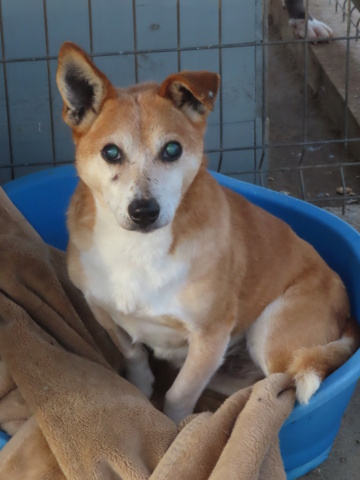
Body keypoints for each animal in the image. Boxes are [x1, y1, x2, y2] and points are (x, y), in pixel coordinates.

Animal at [56, 43, 360, 422]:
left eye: (172, 149)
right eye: (111, 152)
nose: (143, 211)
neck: (138, 248)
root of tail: (347, 311)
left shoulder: (209, 339)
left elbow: (179, 395)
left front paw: (173, 428)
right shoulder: (103, 311)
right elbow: (134, 356)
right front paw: (141, 393)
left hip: (269, 334)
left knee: (279, 385)